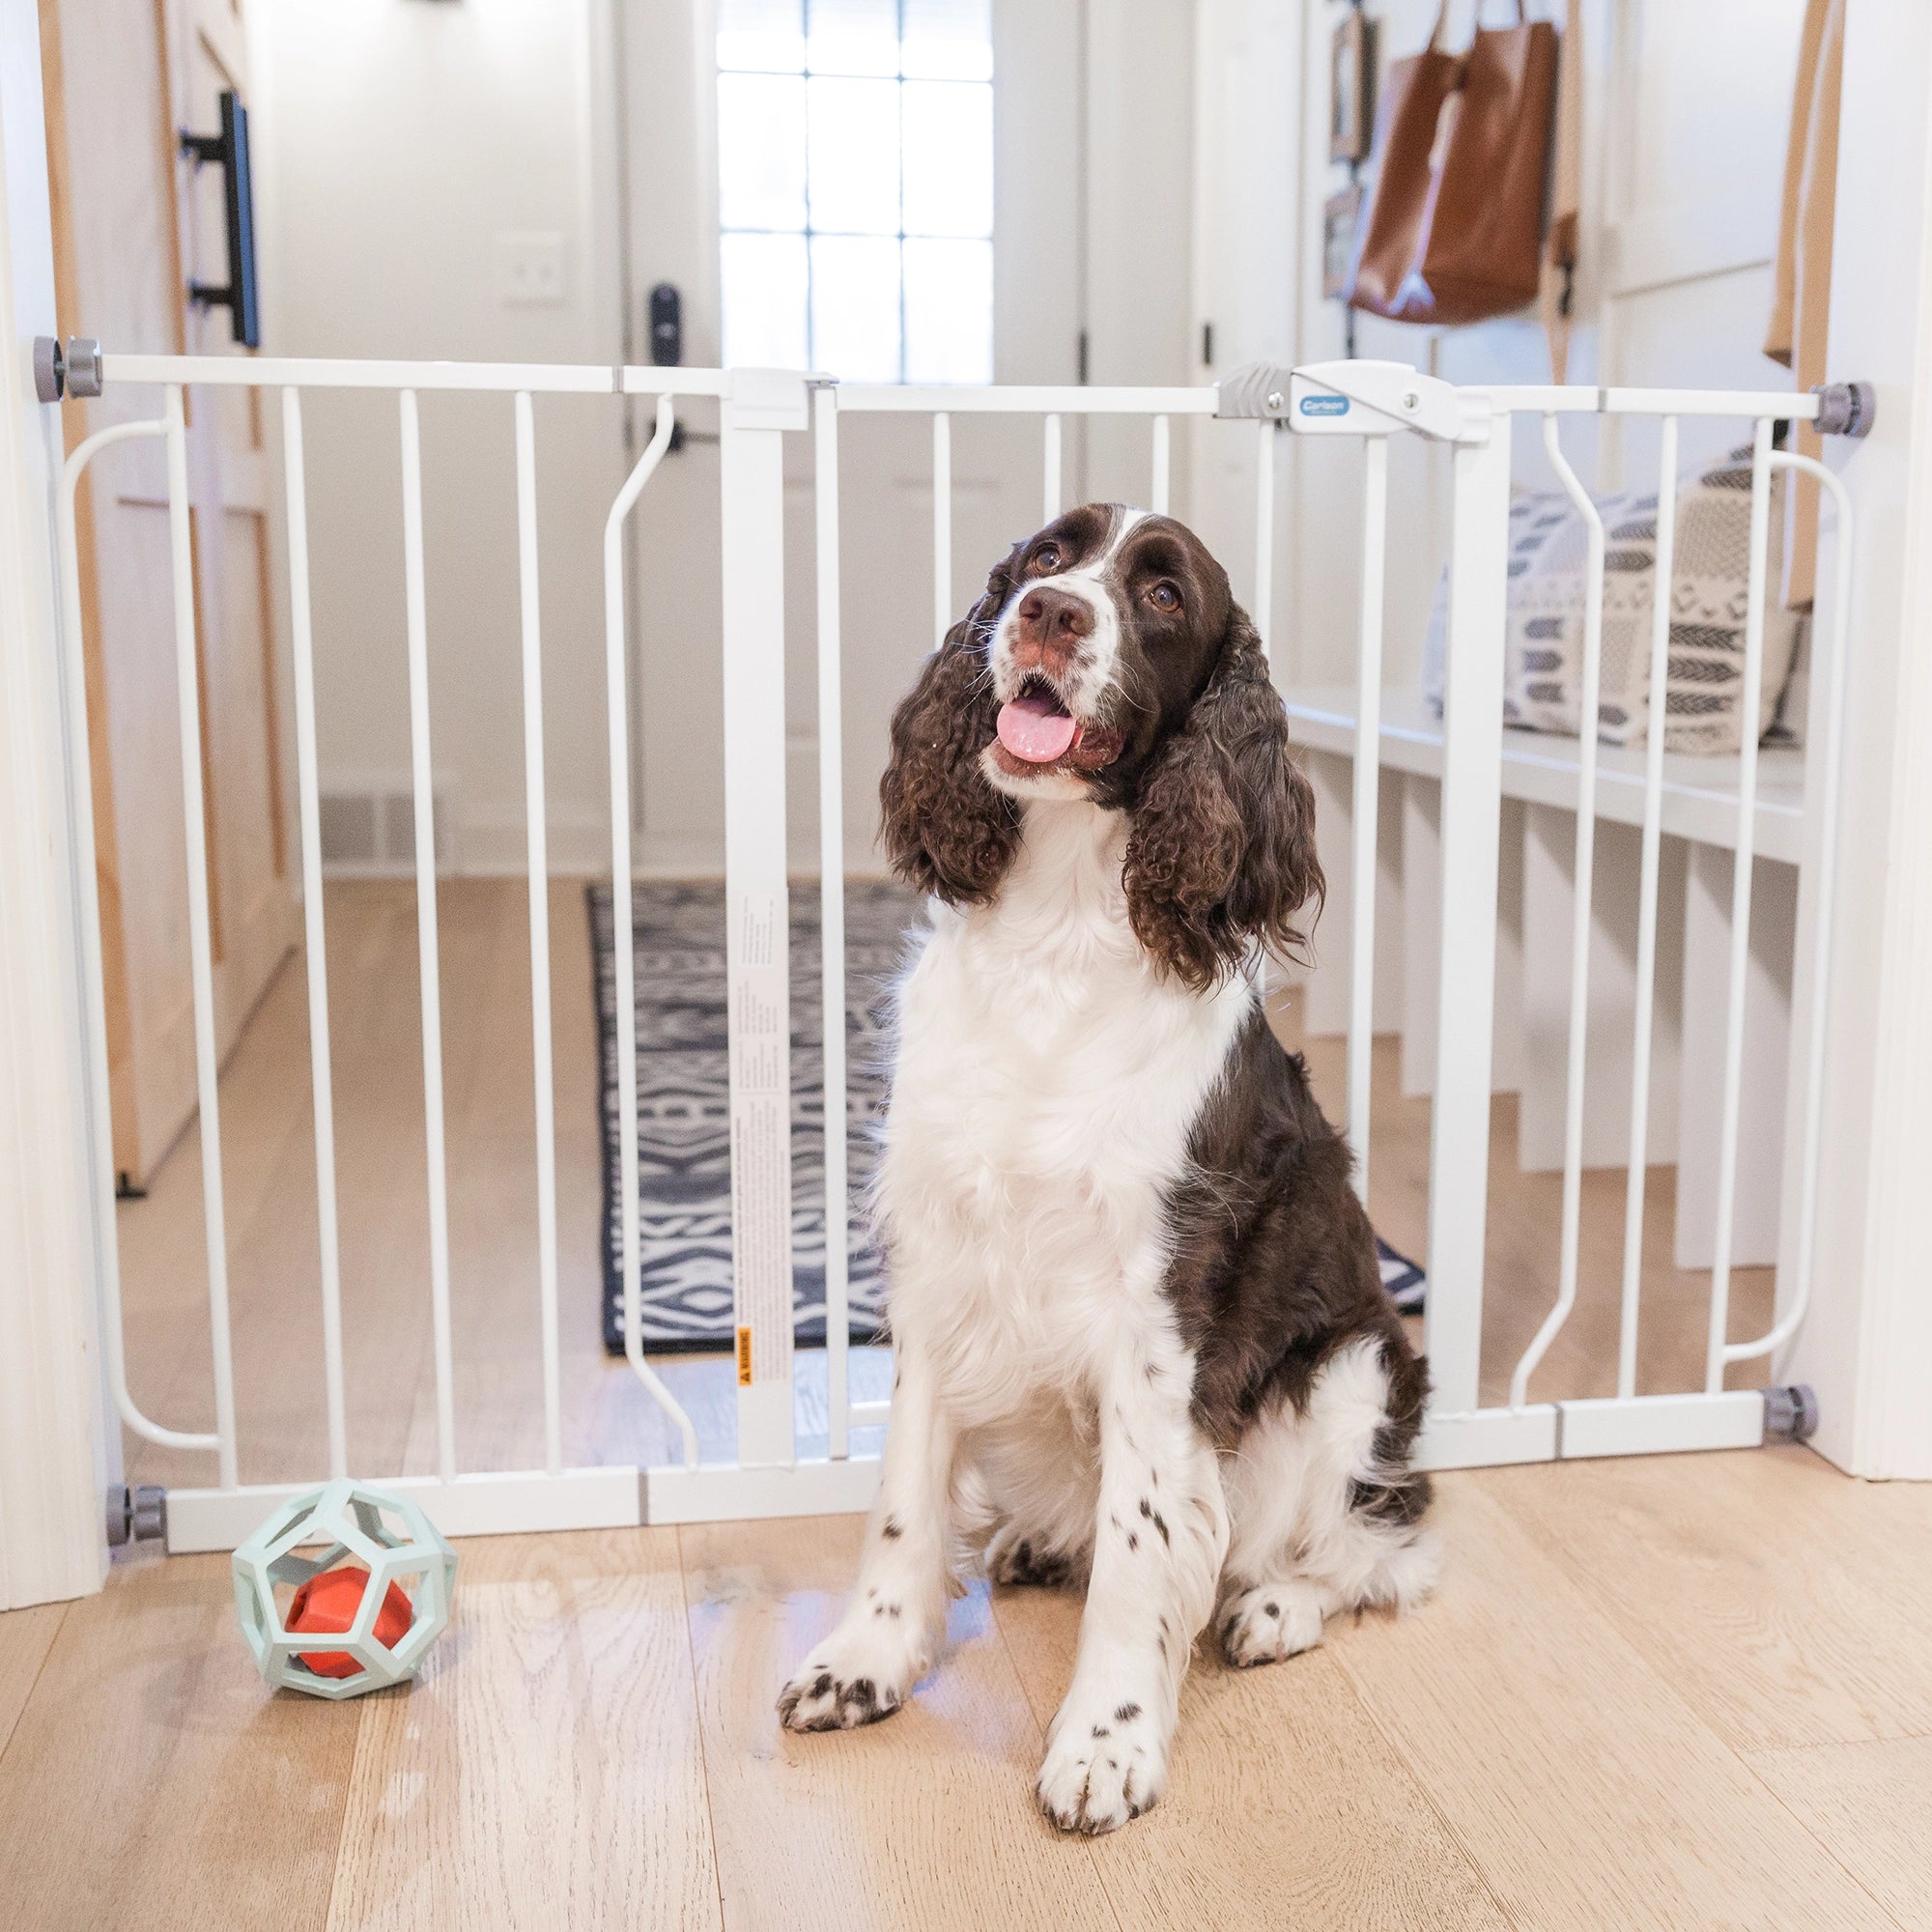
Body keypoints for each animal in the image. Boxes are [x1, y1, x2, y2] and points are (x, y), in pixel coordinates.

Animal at [773, 498, 1437, 1824]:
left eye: (1164, 593)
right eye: (1044, 556)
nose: (1048, 614)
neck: (1056, 931)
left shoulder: (1156, 1313)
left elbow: (1143, 1545)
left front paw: (1105, 1738)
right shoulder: (939, 1263)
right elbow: (901, 1499)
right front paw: (866, 1657)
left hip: (1356, 1376)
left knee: (1373, 1546)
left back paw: (1275, 1604)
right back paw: (1037, 1543)